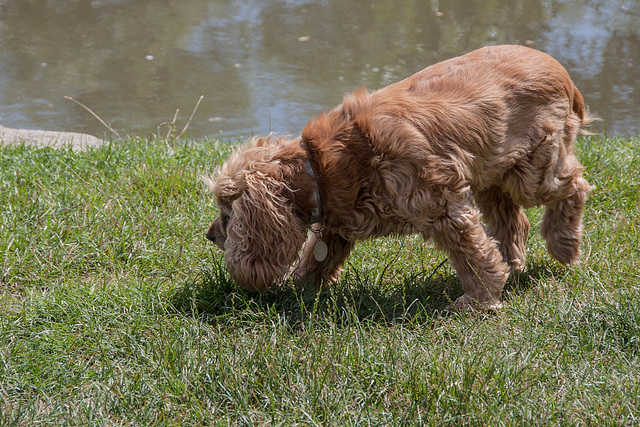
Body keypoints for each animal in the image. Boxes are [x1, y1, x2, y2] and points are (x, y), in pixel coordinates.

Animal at [205, 45, 596, 310]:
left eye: (227, 211)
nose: (209, 235)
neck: (321, 168)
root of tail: (559, 68)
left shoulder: (444, 205)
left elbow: (471, 254)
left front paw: (479, 300)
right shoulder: (339, 222)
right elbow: (318, 258)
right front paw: (299, 289)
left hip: (531, 171)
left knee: (575, 185)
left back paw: (564, 244)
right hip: (493, 174)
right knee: (514, 220)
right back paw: (514, 264)